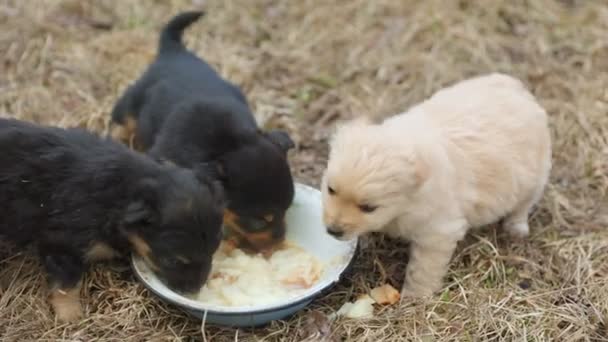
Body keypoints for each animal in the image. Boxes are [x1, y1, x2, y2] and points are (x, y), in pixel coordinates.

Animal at [0, 117, 223, 320]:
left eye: (214, 251)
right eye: (173, 261)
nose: (193, 292)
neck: (119, 194)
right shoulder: (61, 243)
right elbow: (67, 284)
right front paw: (71, 317)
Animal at [111, 11, 296, 251]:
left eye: (288, 210)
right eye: (260, 220)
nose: (280, 242)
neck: (226, 145)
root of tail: (174, 51)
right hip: (130, 102)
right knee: (121, 119)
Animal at [324, 73, 552, 298]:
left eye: (368, 208)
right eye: (330, 190)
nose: (332, 230)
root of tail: (516, 88)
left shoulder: (438, 232)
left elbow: (421, 270)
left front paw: (414, 298)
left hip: (535, 177)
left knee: (523, 206)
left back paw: (515, 228)